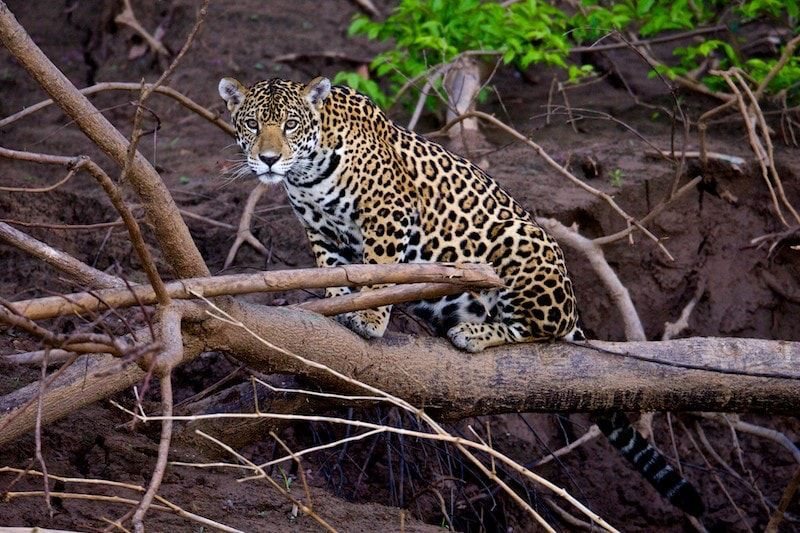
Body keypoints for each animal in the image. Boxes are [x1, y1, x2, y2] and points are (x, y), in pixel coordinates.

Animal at [218, 75, 704, 516]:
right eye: (252, 123)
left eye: (291, 124)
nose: (268, 160)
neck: (307, 173)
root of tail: (572, 303)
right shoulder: (319, 229)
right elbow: (332, 270)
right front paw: (337, 303)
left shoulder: (388, 214)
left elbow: (377, 269)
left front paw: (371, 317)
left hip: (520, 245)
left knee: (544, 329)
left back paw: (475, 332)